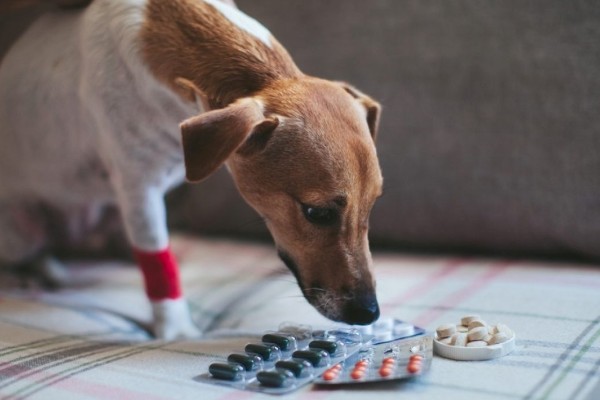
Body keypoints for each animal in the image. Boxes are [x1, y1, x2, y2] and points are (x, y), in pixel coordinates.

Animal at [0, 0, 384, 340]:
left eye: (372, 205)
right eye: (316, 213)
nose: (370, 313)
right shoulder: (140, 191)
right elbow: (158, 262)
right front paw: (177, 331)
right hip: (23, 229)